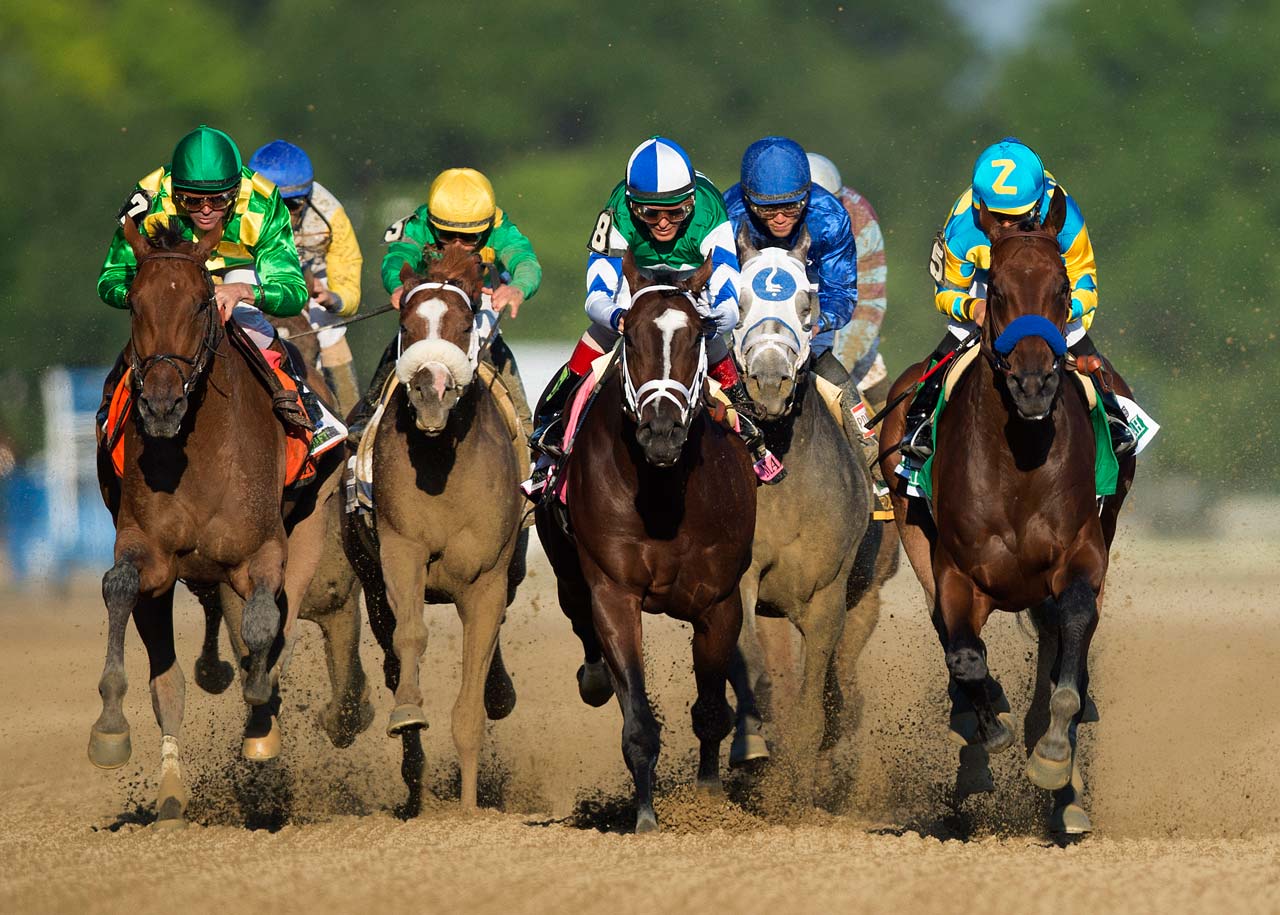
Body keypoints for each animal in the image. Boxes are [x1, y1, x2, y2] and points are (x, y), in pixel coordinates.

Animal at [92, 216, 366, 829]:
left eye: (200, 304)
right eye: (134, 304)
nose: (161, 405)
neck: (194, 454)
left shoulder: (260, 551)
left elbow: (264, 628)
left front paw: (262, 720)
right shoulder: (148, 551)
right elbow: (120, 589)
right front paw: (110, 730)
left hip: (311, 527)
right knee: (171, 678)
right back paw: (174, 792)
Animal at [343, 245, 527, 813]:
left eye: (465, 323)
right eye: (407, 323)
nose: (430, 392)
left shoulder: (488, 580)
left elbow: (472, 698)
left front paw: (467, 811)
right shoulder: (400, 551)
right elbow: (410, 636)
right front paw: (407, 713)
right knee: (391, 650)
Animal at [532, 254, 752, 834]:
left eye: (697, 335)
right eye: (629, 336)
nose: (662, 433)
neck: (663, 492)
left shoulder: (720, 601)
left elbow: (711, 711)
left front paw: (707, 800)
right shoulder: (614, 592)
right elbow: (636, 716)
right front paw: (647, 817)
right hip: (566, 572)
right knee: (581, 625)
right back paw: (593, 678)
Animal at [880, 189, 1141, 834]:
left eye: (1062, 286)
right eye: (994, 288)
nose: (1033, 385)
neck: (1019, 463)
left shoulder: (1081, 554)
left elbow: (1072, 641)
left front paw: (1053, 761)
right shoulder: (954, 570)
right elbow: (966, 657)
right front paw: (986, 734)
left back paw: (1065, 790)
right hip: (912, 532)